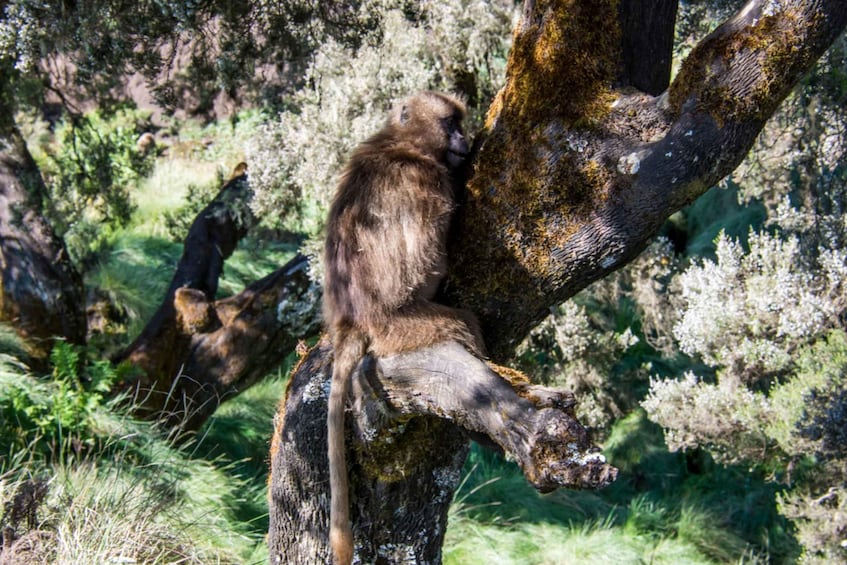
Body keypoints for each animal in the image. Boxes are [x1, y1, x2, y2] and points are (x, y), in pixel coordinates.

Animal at [322, 91, 485, 565]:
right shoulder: (424, 181)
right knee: (464, 325)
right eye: (450, 124)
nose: (464, 140)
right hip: (401, 327)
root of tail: (351, 321)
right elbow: (423, 256)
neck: (400, 143)